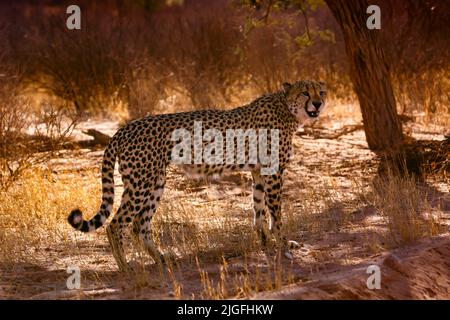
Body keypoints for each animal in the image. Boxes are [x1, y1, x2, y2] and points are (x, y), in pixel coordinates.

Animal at [67, 80, 326, 270]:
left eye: (321, 91)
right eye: (305, 92)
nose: (318, 103)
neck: (287, 109)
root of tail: (124, 128)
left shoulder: (259, 173)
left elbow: (259, 210)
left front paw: (265, 242)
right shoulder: (272, 173)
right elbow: (276, 214)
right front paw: (283, 245)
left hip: (156, 182)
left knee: (140, 224)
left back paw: (161, 258)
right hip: (142, 183)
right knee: (116, 224)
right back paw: (126, 267)